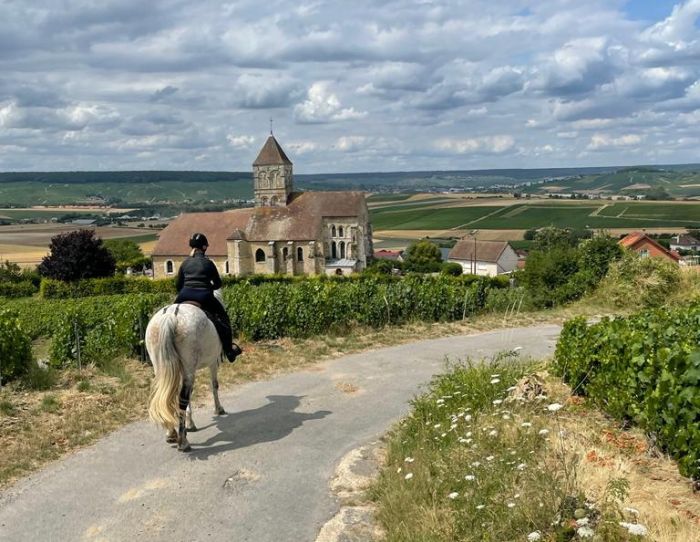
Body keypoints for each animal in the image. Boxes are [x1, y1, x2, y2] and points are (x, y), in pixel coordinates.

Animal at [146, 292, 228, 452]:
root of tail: (170, 316)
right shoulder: (213, 362)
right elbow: (214, 385)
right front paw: (218, 409)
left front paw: (190, 423)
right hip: (190, 366)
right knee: (182, 398)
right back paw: (183, 442)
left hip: (162, 367)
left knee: (166, 397)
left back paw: (171, 433)